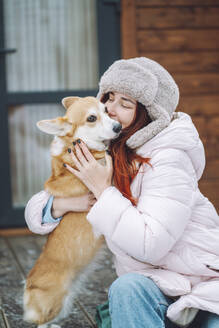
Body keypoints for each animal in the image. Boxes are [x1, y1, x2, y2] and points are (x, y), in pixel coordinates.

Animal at [23, 96, 122, 326]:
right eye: (92, 118)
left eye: (106, 110)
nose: (118, 127)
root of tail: (28, 287)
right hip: (57, 299)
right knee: (39, 321)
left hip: (66, 302)